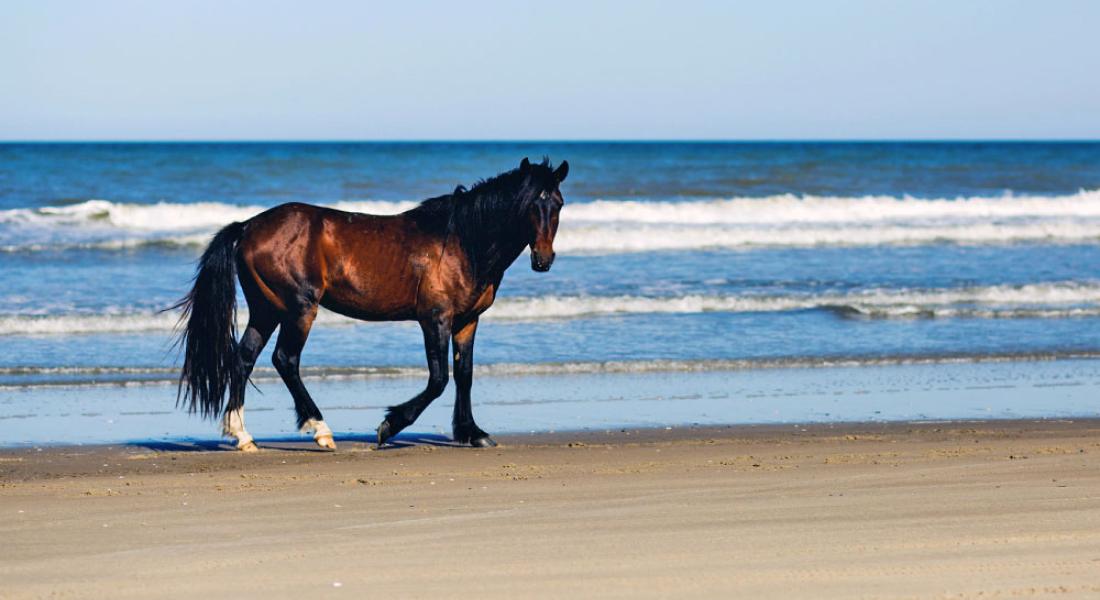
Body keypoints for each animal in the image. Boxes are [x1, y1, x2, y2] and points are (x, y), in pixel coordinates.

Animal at [173, 157, 568, 451]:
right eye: (531, 204)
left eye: (558, 204)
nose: (543, 260)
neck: (462, 241)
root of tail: (248, 227)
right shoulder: (435, 319)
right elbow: (439, 378)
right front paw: (389, 425)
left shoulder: (467, 321)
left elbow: (465, 374)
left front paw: (472, 432)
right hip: (298, 308)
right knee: (285, 359)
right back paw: (321, 431)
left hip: (266, 309)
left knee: (244, 358)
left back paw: (242, 435)